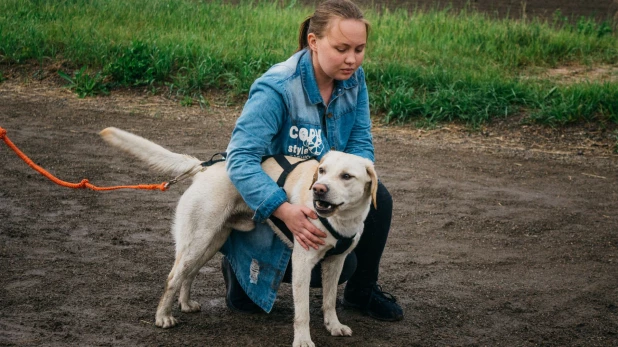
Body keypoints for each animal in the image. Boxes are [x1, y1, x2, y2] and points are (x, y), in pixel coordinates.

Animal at [100, 128, 376, 347]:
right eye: (322, 171)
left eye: (346, 176)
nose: (318, 189)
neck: (341, 220)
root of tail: (204, 169)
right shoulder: (302, 263)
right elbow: (303, 311)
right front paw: (302, 340)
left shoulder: (336, 262)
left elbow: (329, 301)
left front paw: (334, 326)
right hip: (197, 241)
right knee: (172, 277)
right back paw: (163, 317)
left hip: (210, 243)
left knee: (189, 274)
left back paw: (186, 304)